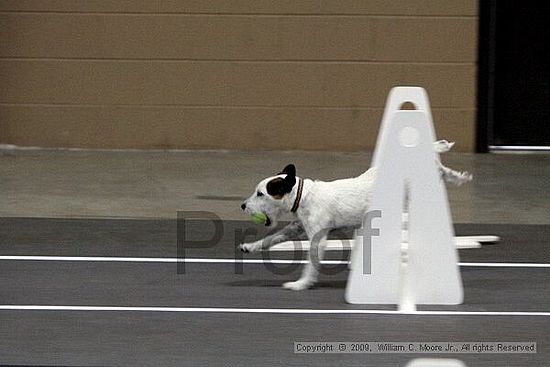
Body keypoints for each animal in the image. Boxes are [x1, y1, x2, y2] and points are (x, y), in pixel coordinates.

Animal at [239, 140, 472, 290]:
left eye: (260, 193)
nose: (242, 205)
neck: (304, 196)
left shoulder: (317, 239)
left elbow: (311, 265)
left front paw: (301, 284)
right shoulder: (295, 229)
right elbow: (271, 239)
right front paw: (249, 246)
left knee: (442, 170)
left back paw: (458, 175)